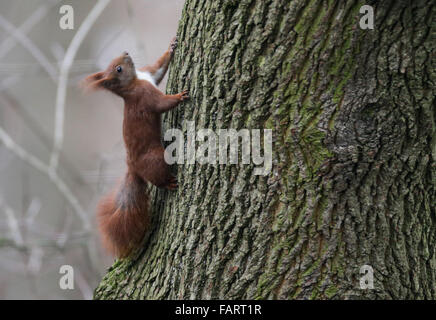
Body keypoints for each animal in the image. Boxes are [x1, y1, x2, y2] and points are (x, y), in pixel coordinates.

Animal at [83, 37, 187, 258]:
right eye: (119, 69)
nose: (126, 52)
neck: (135, 81)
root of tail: (133, 167)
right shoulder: (146, 97)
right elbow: (162, 104)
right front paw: (179, 97)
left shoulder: (150, 75)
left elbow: (158, 68)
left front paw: (171, 47)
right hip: (156, 158)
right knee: (158, 178)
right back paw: (168, 183)